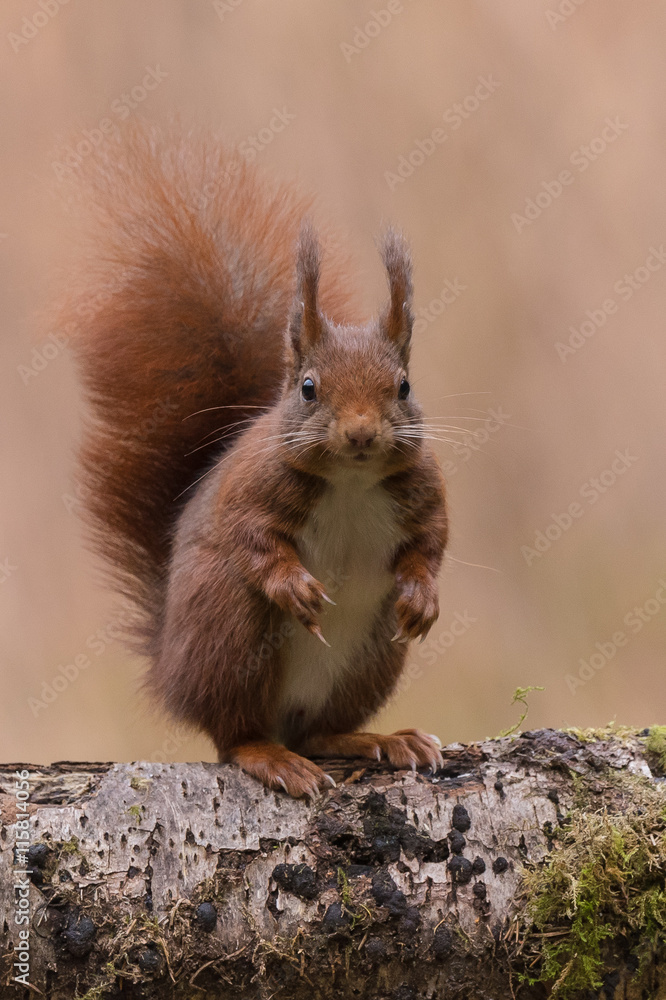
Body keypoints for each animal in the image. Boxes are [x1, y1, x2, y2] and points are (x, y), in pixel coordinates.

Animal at [61, 122, 449, 798]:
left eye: (403, 387)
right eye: (309, 388)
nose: (360, 434)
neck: (352, 479)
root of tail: (171, 670)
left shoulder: (422, 489)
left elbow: (432, 541)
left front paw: (422, 598)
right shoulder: (252, 489)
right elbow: (252, 537)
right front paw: (295, 586)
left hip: (372, 656)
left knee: (319, 730)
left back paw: (379, 739)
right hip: (231, 630)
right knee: (233, 735)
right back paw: (270, 756)